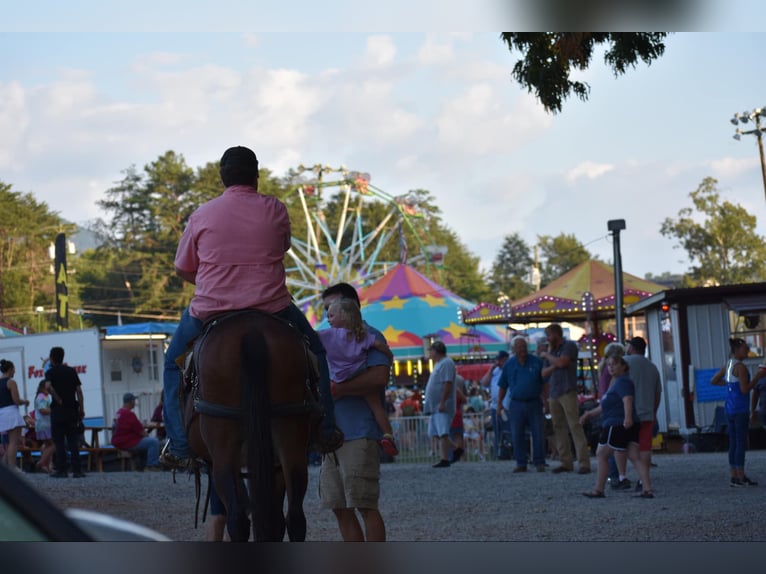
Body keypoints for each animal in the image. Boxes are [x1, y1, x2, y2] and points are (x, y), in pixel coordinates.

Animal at [184, 312, 320, 544]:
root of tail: (252, 333)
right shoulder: (274, 465)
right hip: (290, 436)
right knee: (294, 518)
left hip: (224, 448)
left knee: (237, 519)